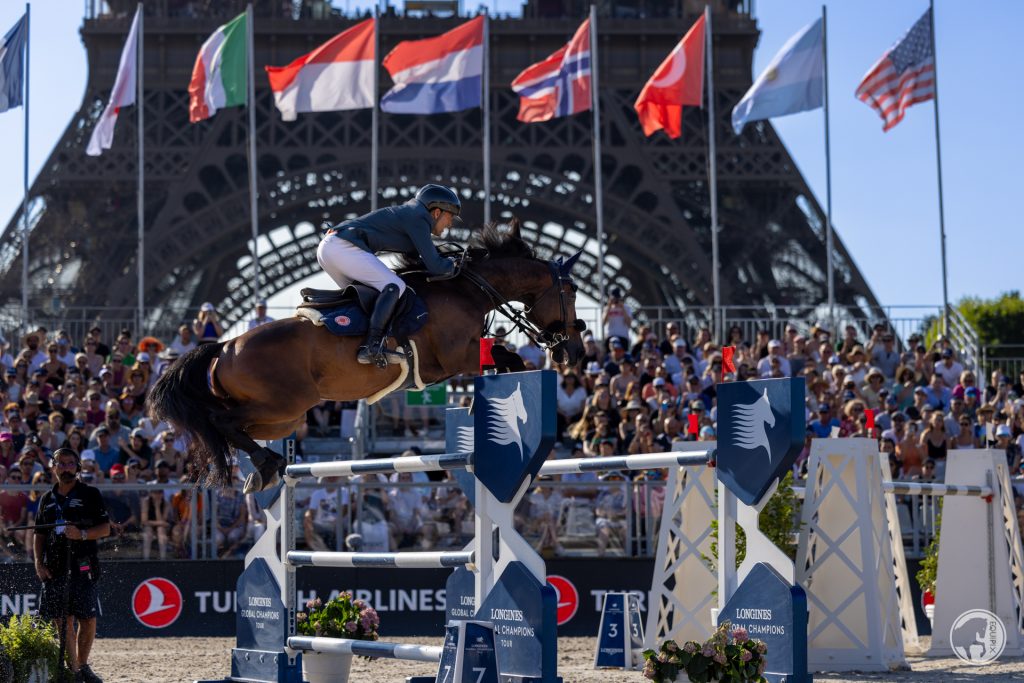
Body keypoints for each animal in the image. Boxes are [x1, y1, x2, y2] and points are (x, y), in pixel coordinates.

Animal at [148, 224, 589, 491]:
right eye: (570, 292)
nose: (575, 350)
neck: (467, 289)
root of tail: (224, 347)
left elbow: (501, 356)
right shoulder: (454, 358)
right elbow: (505, 356)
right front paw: (493, 395)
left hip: (281, 417)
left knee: (229, 426)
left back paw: (262, 470)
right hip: (282, 404)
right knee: (221, 421)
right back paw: (269, 465)